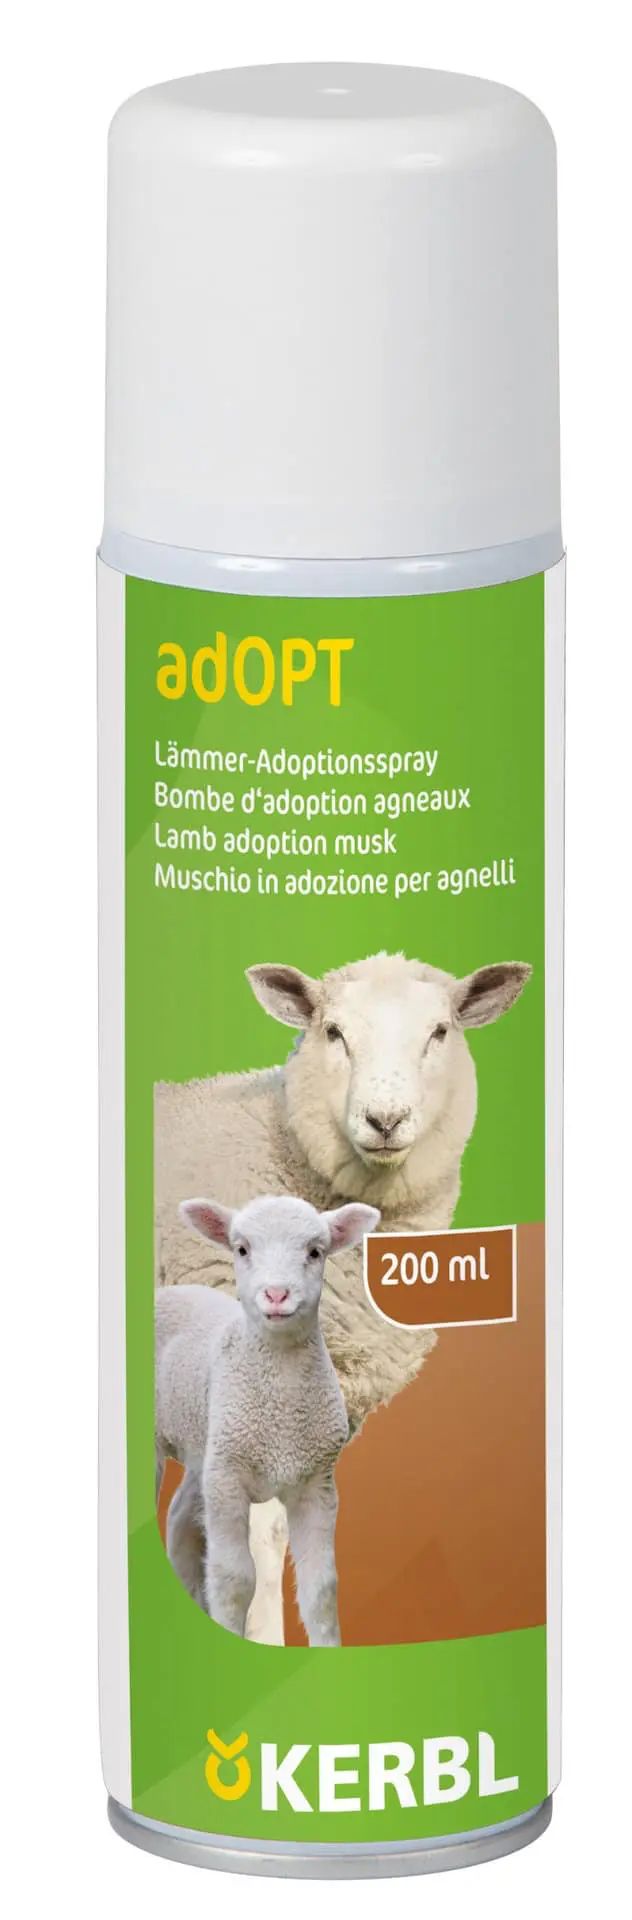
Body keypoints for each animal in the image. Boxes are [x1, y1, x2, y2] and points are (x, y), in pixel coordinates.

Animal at [156, 1194, 379, 1645]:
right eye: (242, 1249)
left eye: (315, 1252)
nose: (277, 1294)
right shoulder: (228, 1478)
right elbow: (235, 1578)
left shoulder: (317, 1483)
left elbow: (322, 1588)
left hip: (206, 1444)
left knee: (179, 1517)